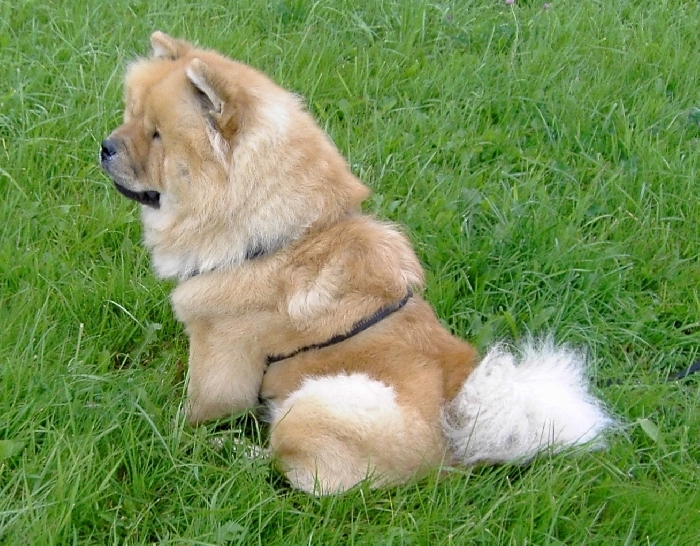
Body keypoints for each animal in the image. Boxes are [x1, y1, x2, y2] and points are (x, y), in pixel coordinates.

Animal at [100, 32, 611, 494]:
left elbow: (196, 410)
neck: (281, 239)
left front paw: (165, 426)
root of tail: (455, 440)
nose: (105, 145)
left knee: (288, 467)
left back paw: (233, 453)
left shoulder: (219, 351)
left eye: (157, 136)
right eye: (130, 118)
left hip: (313, 405)